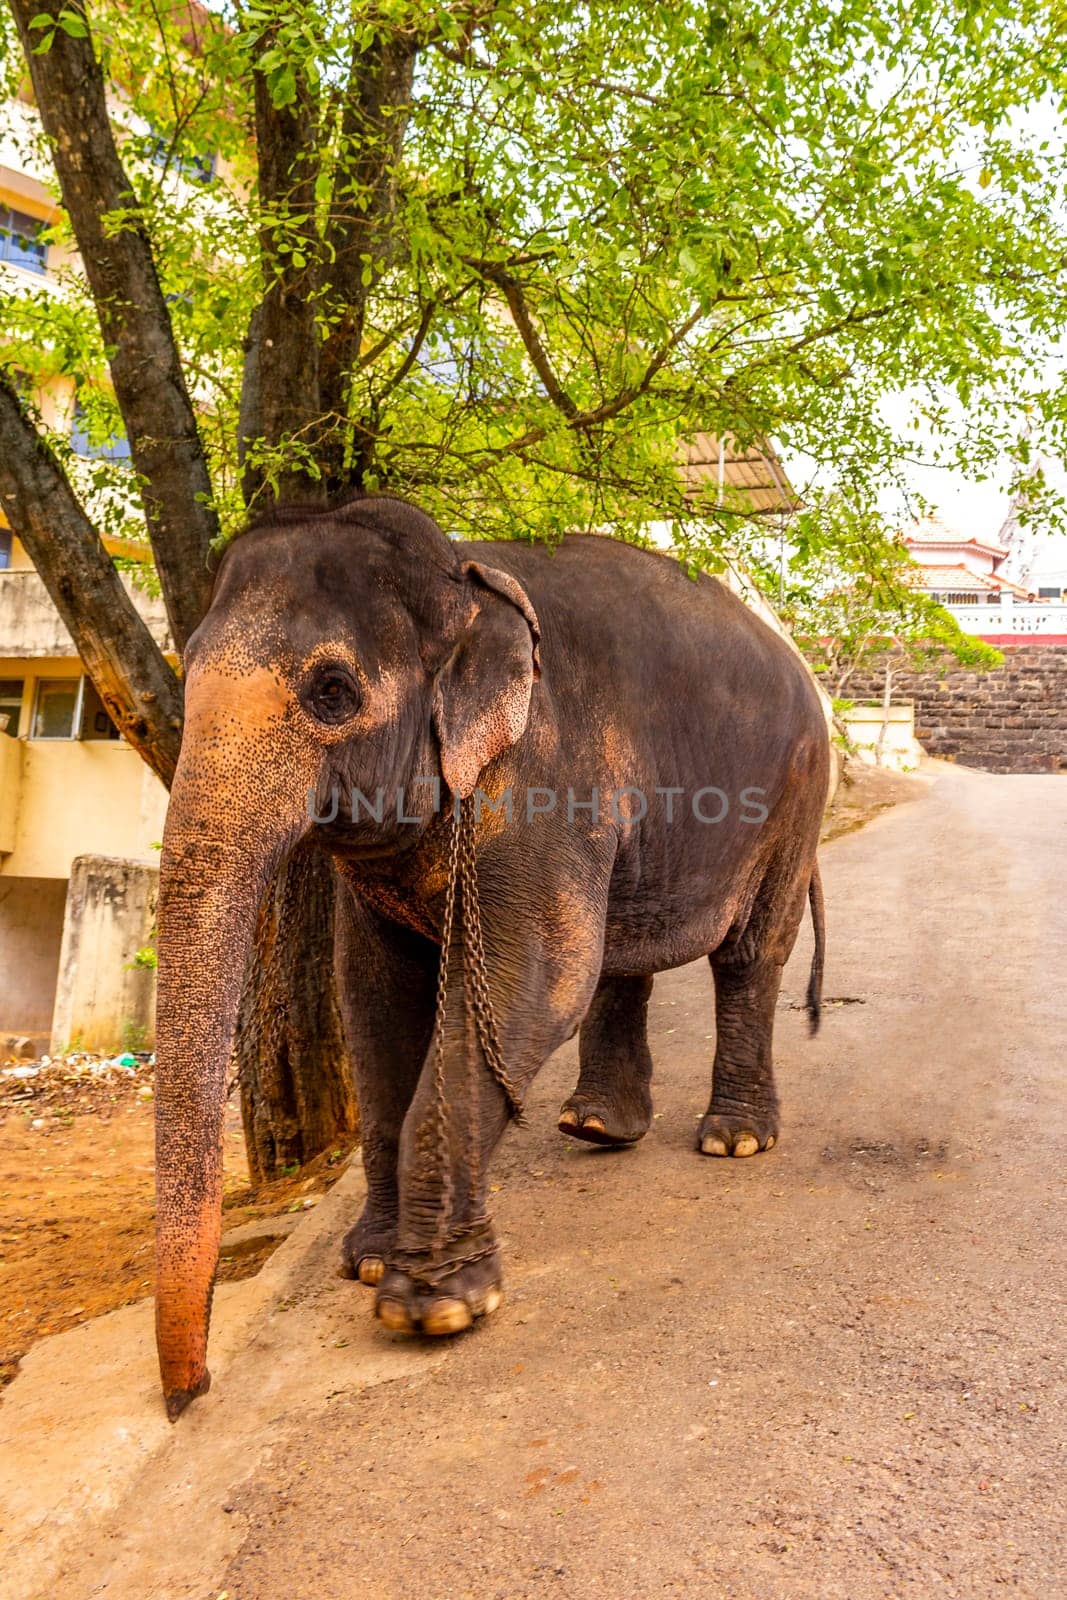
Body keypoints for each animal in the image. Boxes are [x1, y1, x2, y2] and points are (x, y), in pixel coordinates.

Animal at [154, 492, 831, 1420]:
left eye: (332, 691)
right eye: (185, 677)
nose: (190, 1395)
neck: (458, 579)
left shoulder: (544, 781)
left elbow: (539, 976)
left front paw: (434, 1306)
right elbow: (373, 996)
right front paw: (369, 1259)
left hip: (796, 796)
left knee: (748, 955)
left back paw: (732, 1142)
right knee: (622, 949)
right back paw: (596, 1126)